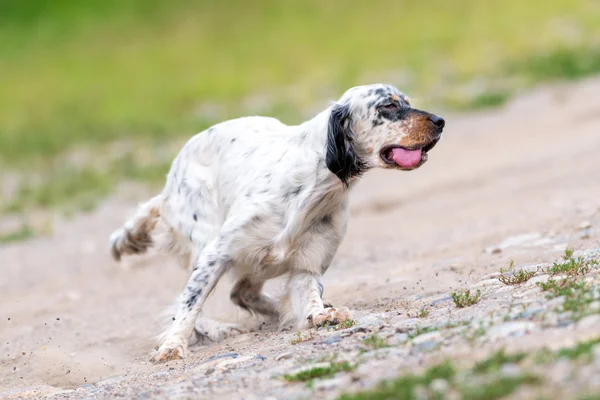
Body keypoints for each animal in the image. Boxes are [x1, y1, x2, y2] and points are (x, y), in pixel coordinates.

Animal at [109, 83, 446, 360]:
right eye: (388, 106)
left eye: (407, 102)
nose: (441, 121)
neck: (313, 186)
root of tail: (168, 184)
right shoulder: (216, 254)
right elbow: (189, 305)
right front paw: (172, 346)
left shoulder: (307, 264)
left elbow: (307, 293)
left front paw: (319, 313)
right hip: (204, 240)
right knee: (191, 298)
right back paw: (218, 329)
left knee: (242, 292)